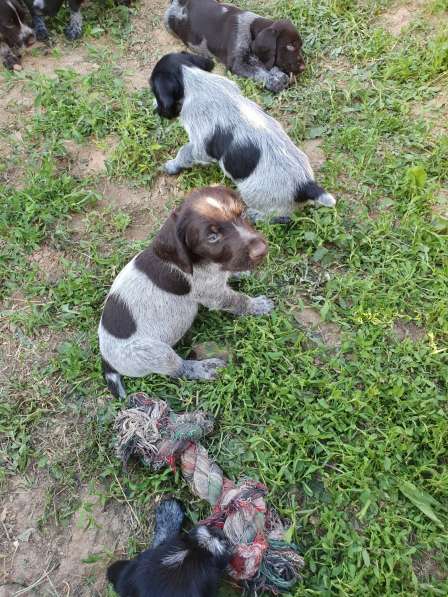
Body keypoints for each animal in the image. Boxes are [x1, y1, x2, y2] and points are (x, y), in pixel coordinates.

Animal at [98, 184, 272, 398]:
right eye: (212, 238)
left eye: (243, 214)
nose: (262, 250)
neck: (203, 262)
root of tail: (106, 360)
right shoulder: (214, 295)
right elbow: (238, 300)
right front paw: (257, 305)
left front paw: (242, 273)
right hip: (154, 353)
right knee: (179, 370)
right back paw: (204, 368)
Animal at [150, 51, 336, 221]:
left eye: (153, 89)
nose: (155, 109)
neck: (194, 79)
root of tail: (306, 185)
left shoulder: (200, 146)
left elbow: (185, 153)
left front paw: (171, 165)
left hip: (253, 194)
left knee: (281, 217)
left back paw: (254, 215)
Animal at [164, 0, 304, 93]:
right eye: (290, 46)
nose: (303, 67)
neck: (251, 29)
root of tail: (179, 2)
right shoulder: (237, 64)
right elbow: (257, 73)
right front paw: (276, 82)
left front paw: (278, 75)